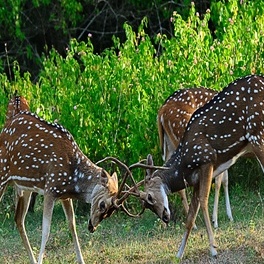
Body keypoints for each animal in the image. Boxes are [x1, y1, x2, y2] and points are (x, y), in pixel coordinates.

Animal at [0, 99, 120, 264]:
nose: (92, 228)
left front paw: (81, 260)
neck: (73, 177)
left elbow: (72, 226)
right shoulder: (51, 188)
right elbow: (46, 230)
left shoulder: (64, 195)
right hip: (2, 174)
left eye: (111, 212)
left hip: (25, 187)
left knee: (19, 219)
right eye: (103, 205)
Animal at [157, 87, 233, 228]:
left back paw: (165, 224)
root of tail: (162, 111)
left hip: (168, 145)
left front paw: (229, 216)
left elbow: (225, 180)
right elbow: (219, 181)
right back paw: (194, 223)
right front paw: (215, 220)